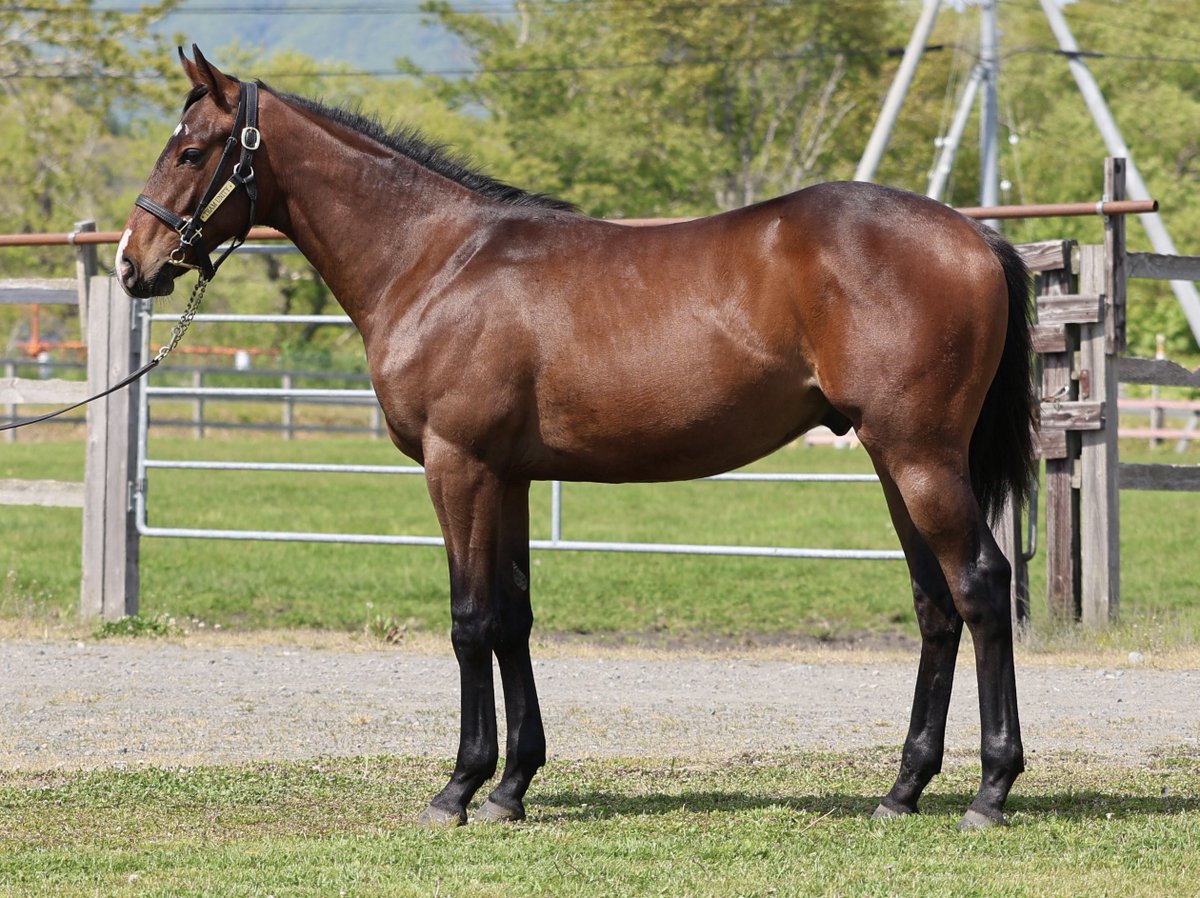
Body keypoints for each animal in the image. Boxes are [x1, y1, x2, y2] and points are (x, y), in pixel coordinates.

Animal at [119, 47, 1036, 830]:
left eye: (192, 152)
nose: (133, 263)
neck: (438, 260)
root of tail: (976, 235)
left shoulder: (458, 468)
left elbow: (470, 620)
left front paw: (458, 789)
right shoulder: (509, 477)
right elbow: (514, 617)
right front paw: (512, 786)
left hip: (920, 459)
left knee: (982, 587)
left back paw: (990, 791)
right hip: (892, 461)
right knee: (935, 606)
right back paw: (903, 789)